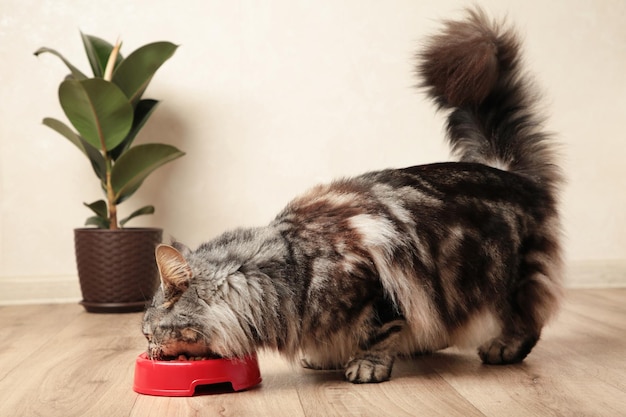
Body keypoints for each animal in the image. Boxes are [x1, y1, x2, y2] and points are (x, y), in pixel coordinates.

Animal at [140, 7, 560, 384]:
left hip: (505, 280)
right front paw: (326, 357)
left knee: (529, 317)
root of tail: (510, 173)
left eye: (148, 331)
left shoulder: (381, 289)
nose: (148, 350)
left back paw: (503, 347)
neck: (286, 271)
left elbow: (378, 333)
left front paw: (366, 365)